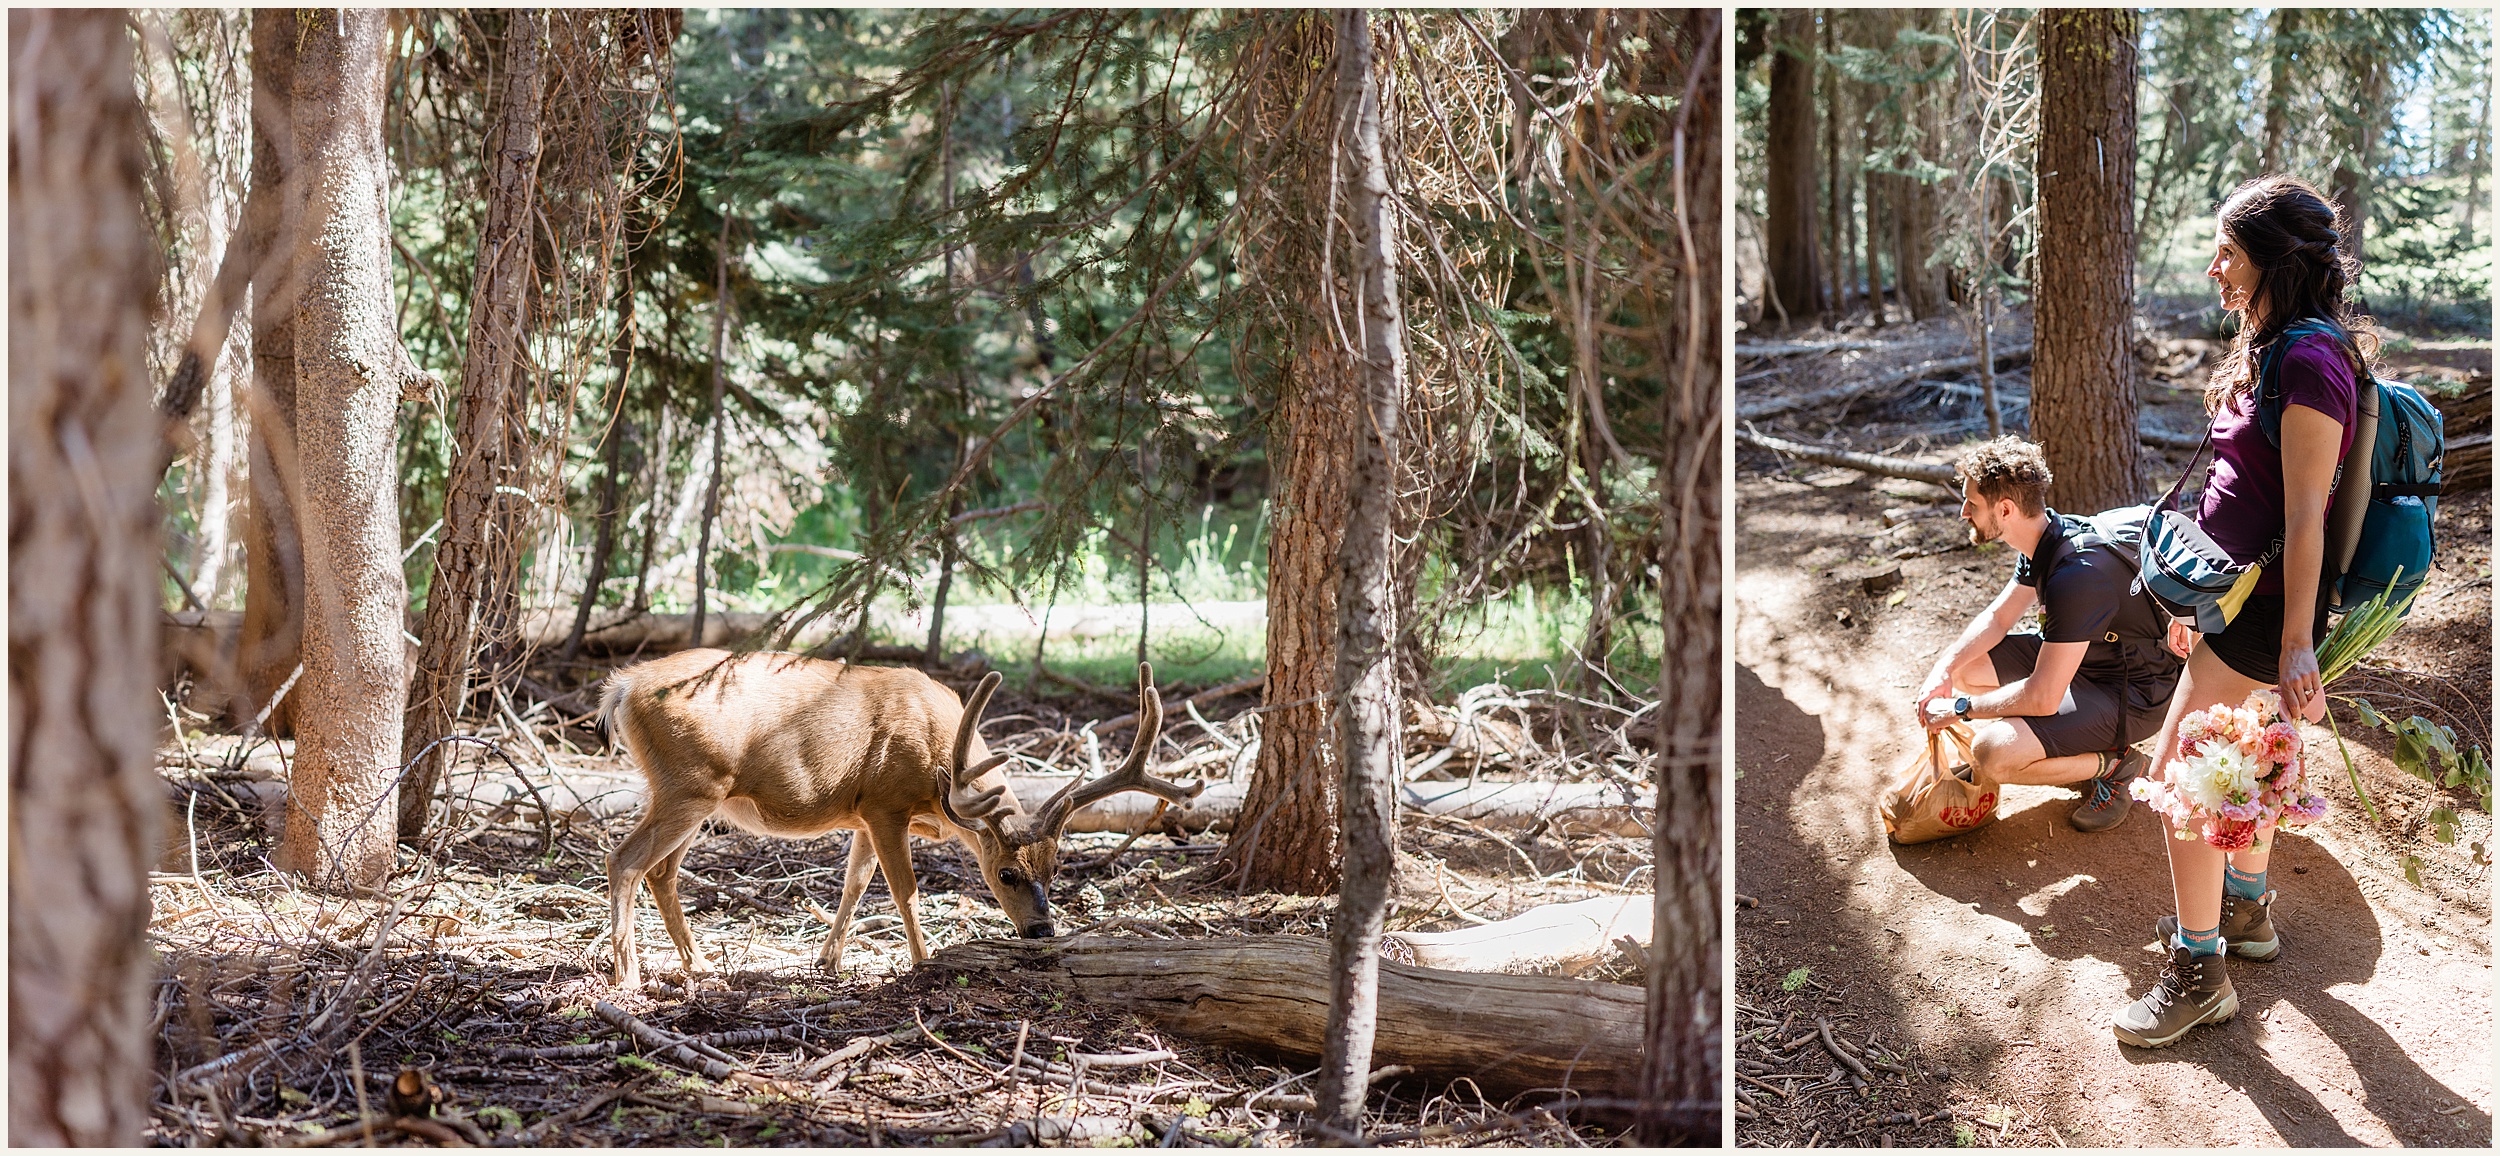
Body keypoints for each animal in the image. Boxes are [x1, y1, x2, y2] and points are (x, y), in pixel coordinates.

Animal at [595, 645, 1200, 990]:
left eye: (1055, 871)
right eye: (1005, 873)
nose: (1040, 931)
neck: (940, 763)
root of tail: (620, 687)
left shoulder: (862, 815)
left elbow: (855, 883)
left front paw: (828, 962)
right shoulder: (885, 803)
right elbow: (904, 889)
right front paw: (923, 962)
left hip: (698, 796)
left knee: (661, 871)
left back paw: (698, 966)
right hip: (691, 783)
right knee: (624, 859)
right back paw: (628, 977)